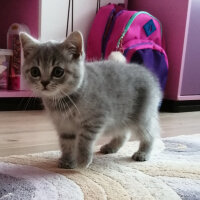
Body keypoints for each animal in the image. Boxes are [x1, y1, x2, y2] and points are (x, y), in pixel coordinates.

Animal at [19, 31, 162, 169]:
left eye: (58, 71)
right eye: (35, 71)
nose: (44, 82)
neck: (63, 100)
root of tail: (146, 72)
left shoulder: (95, 120)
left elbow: (84, 141)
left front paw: (83, 160)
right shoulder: (64, 126)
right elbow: (66, 144)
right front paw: (67, 160)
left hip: (142, 117)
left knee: (150, 134)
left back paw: (143, 152)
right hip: (121, 117)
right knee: (124, 133)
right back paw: (111, 146)